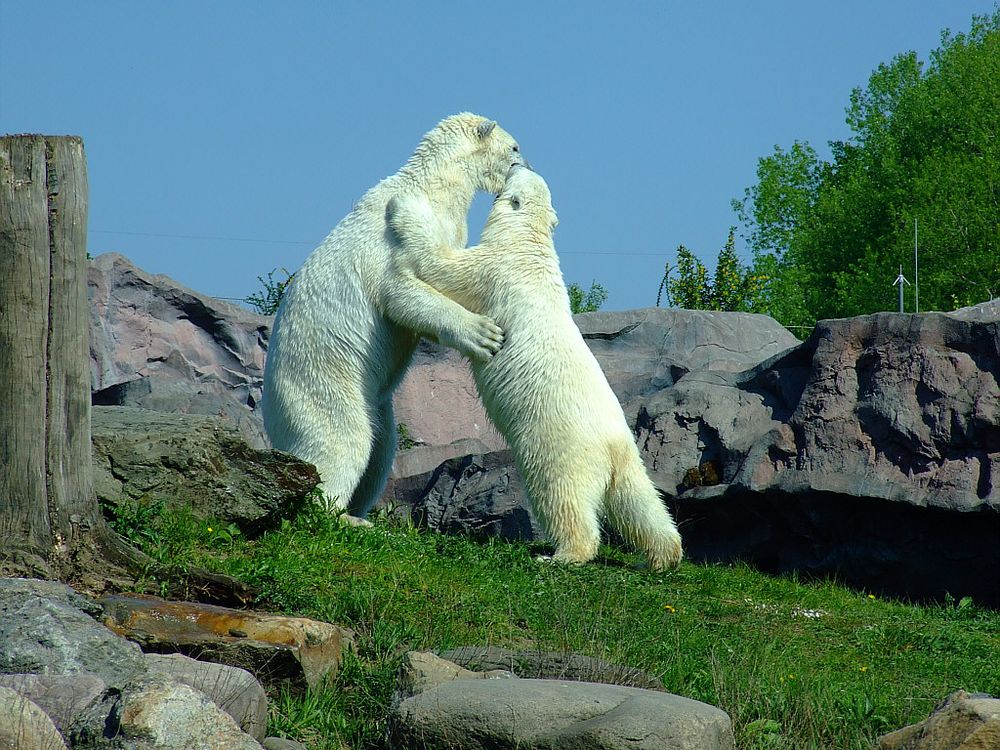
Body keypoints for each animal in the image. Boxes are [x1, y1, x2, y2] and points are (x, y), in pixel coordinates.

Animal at [262, 114, 528, 524]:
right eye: (514, 146)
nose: (525, 162)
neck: (433, 186)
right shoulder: (401, 232)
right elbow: (402, 292)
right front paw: (484, 334)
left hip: (374, 401)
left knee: (380, 447)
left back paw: (361, 511)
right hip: (320, 380)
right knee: (342, 439)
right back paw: (340, 515)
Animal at [386, 167, 684, 572]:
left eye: (519, 173)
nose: (519, 161)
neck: (528, 241)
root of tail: (611, 447)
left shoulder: (492, 267)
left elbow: (441, 265)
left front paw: (402, 206)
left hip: (558, 447)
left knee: (560, 497)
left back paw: (560, 555)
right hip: (630, 457)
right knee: (642, 502)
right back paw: (663, 556)